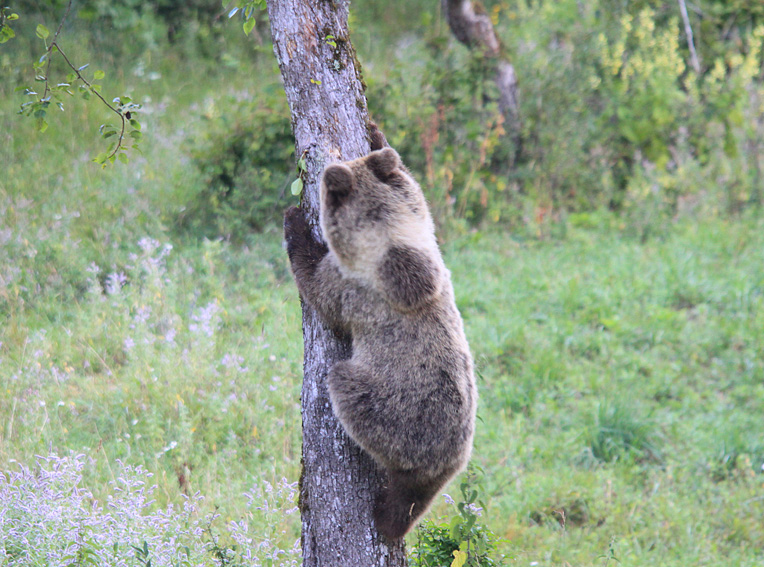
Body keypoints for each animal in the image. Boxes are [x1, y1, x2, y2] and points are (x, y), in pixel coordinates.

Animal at [286, 129, 478, 540]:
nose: (329, 170)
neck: (391, 244)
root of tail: (443, 460)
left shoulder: (352, 287)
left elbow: (318, 286)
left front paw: (293, 223)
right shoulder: (423, 230)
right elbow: (413, 187)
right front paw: (376, 133)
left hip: (394, 409)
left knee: (348, 388)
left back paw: (382, 514)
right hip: (455, 454)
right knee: (419, 498)